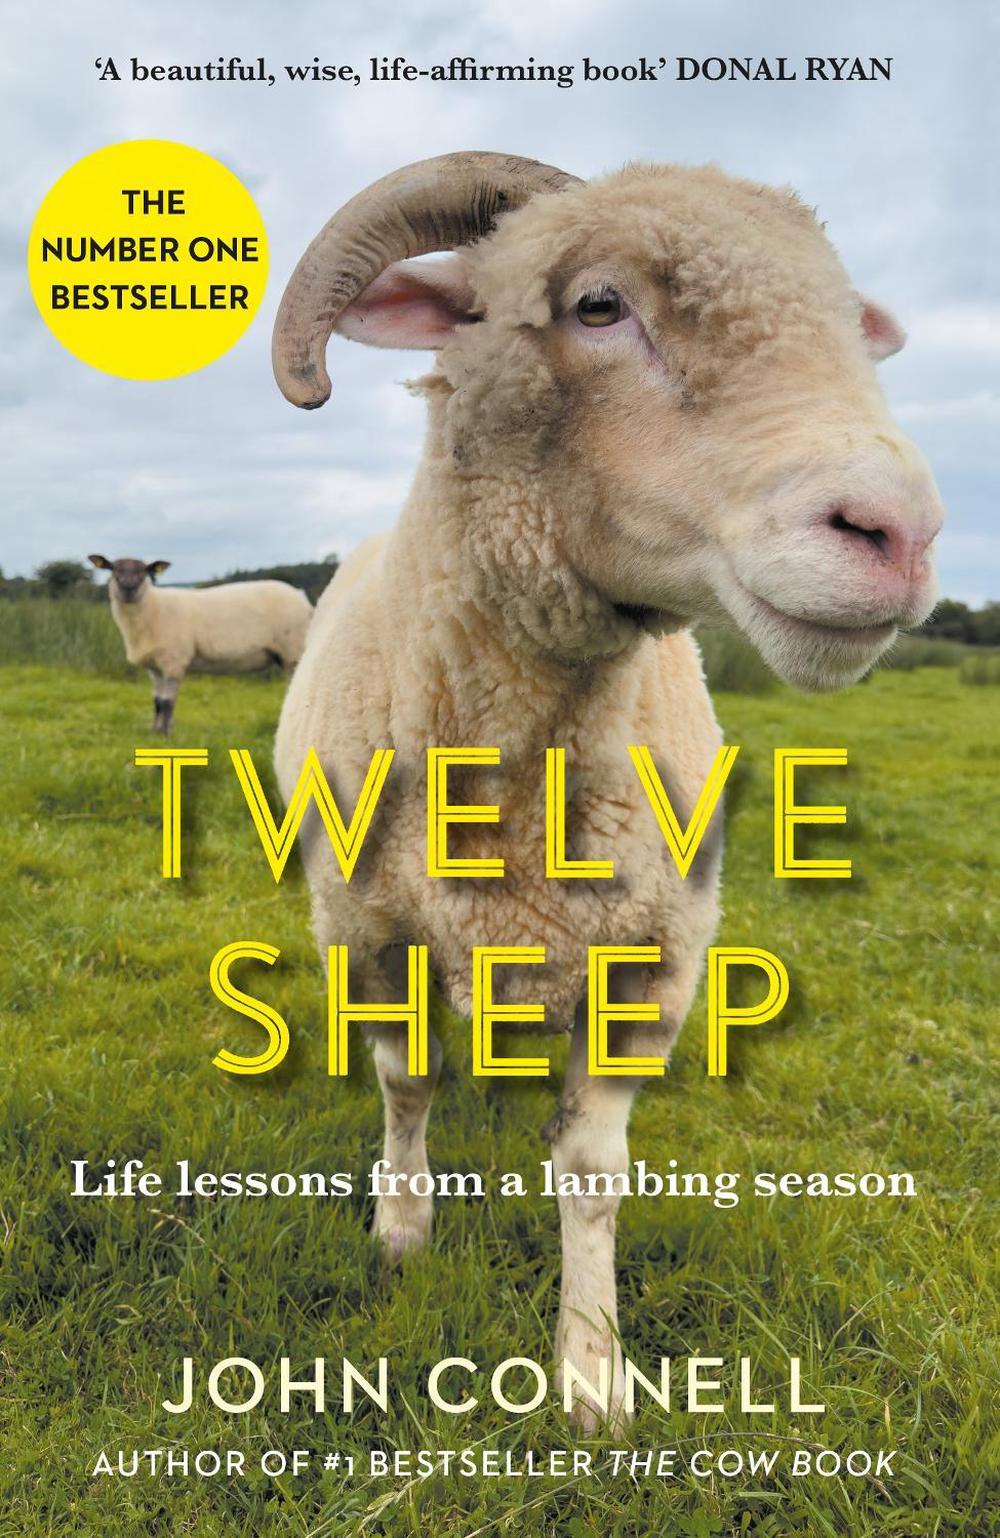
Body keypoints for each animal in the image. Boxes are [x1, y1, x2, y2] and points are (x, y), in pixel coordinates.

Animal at [88, 556, 313, 733]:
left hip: (293, 651)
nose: (128, 587)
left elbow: (167, 702)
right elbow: (157, 701)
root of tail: (301, 596)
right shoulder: (156, 667)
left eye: (144, 571)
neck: (152, 608)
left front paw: (164, 734)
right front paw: (155, 731)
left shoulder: (174, 660)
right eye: (114, 569)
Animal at [270, 152, 944, 1429]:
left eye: (848, 325)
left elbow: (589, 1167)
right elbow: (406, 1079)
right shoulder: (370, 927)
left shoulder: (654, 958)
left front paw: (591, 1373)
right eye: (594, 305)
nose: (899, 532)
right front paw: (402, 1231)